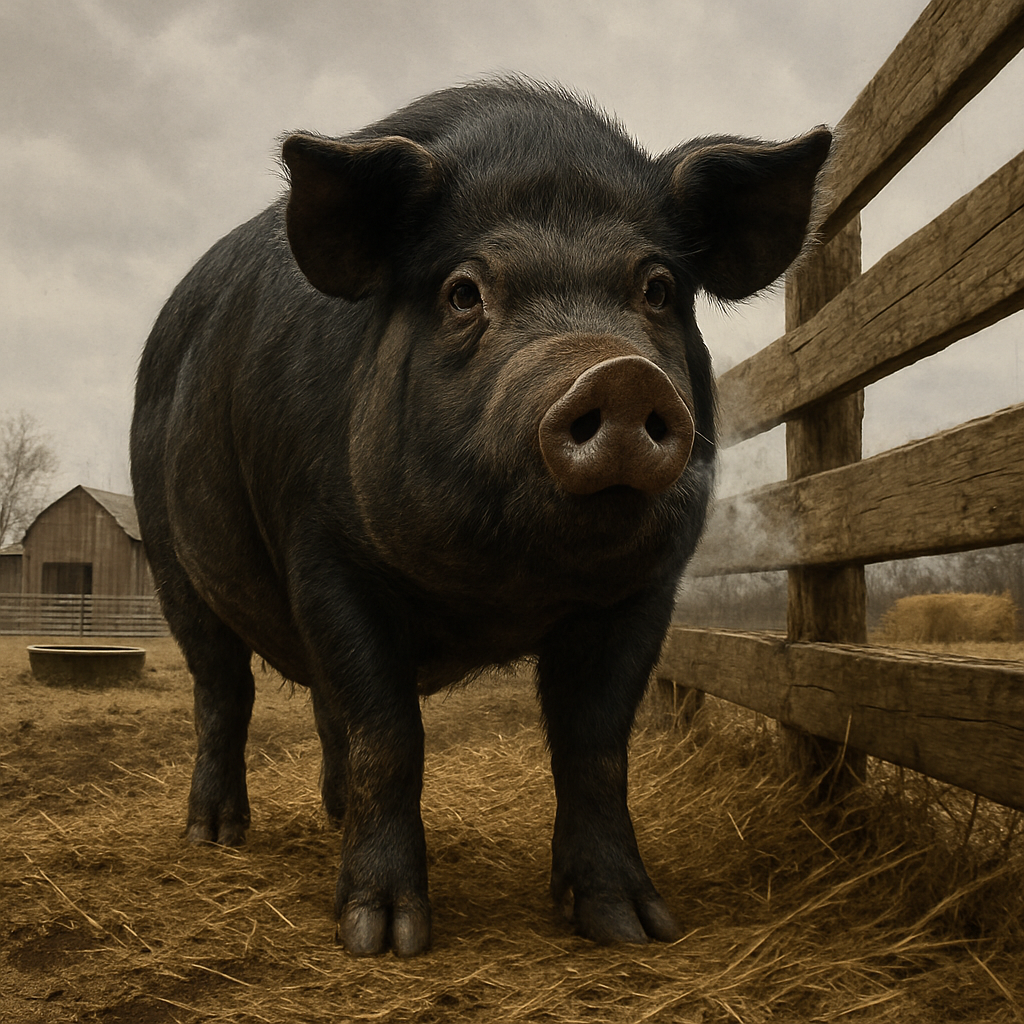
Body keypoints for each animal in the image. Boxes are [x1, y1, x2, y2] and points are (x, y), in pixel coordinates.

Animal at [130, 78, 831, 957]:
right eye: (465, 291)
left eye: (658, 289)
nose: (621, 375)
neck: (501, 597)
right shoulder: (321, 552)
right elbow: (390, 733)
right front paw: (382, 939)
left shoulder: (644, 591)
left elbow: (596, 743)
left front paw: (635, 930)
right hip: (172, 564)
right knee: (224, 691)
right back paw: (214, 836)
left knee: (323, 707)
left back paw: (328, 819)